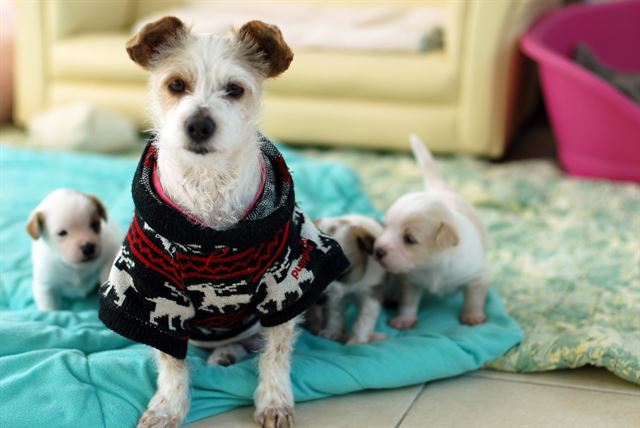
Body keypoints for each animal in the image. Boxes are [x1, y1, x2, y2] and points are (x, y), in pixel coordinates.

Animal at [308, 214, 388, 344]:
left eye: (342, 272)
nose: (319, 299)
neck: (353, 285)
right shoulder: (335, 299)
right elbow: (335, 315)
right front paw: (332, 332)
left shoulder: (371, 294)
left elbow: (364, 319)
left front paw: (357, 340)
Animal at [372, 135, 488, 330]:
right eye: (385, 227)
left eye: (409, 239)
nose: (377, 250)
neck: (433, 265)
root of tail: (442, 190)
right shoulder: (410, 281)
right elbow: (408, 303)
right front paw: (404, 319)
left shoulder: (476, 277)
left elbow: (474, 299)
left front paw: (472, 316)